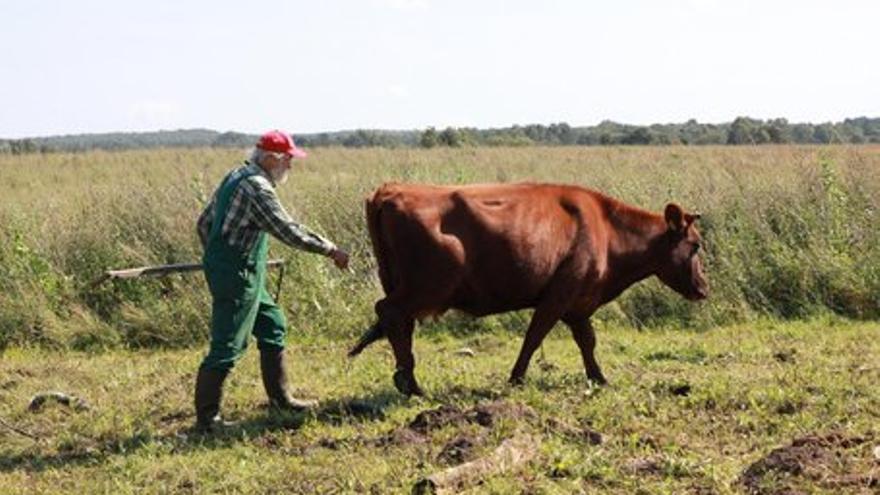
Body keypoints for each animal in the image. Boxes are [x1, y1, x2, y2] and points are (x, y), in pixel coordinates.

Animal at [348, 182, 704, 396]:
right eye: (696, 245)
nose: (704, 288)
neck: (606, 228)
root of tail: (391, 191)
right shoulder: (559, 296)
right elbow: (534, 337)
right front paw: (516, 378)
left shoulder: (577, 304)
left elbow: (587, 341)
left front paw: (599, 378)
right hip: (426, 287)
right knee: (390, 311)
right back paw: (411, 383)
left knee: (398, 322)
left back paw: (406, 379)